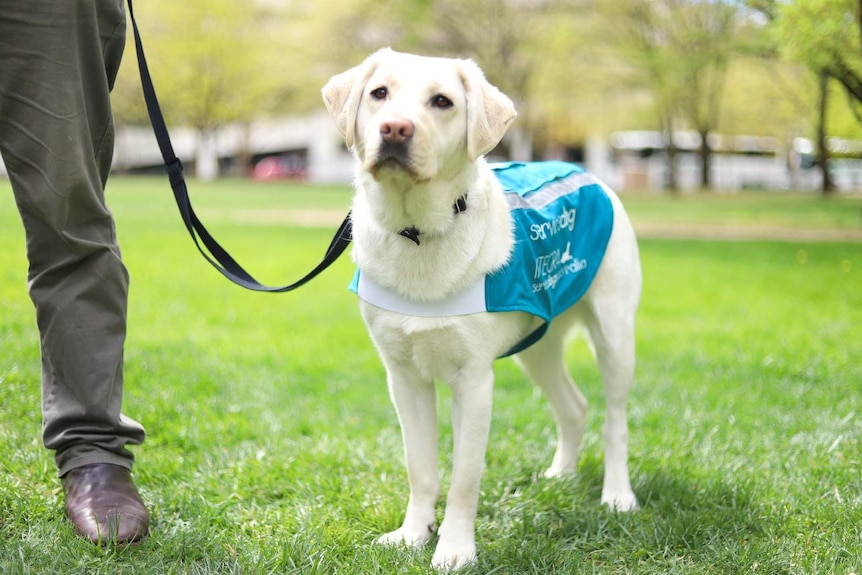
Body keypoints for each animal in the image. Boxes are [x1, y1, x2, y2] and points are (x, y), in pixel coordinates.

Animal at [324, 48, 640, 572]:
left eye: (442, 101)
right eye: (379, 93)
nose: (395, 129)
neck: (417, 232)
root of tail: (587, 173)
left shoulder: (473, 380)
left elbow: (463, 479)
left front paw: (454, 549)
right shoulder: (403, 376)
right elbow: (421, 468)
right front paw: (413, 535)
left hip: (614, 333)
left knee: (615, 420)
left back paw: (618, 496)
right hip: (538, 345)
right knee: (574, 406)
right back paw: (560, 475)